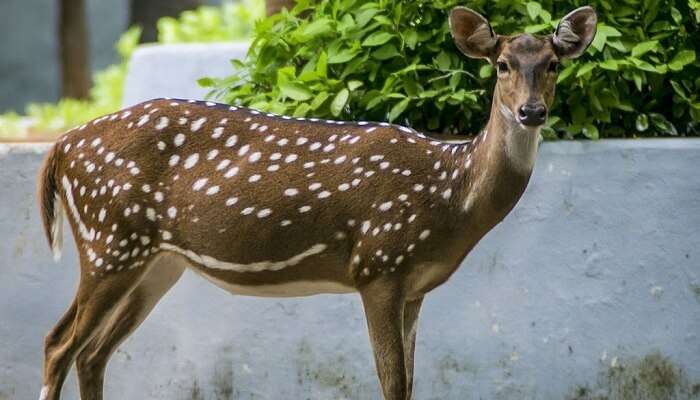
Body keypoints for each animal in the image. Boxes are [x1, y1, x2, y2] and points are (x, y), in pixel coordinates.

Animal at [37, 6, 596, 400]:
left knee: (93, 354)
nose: (531, 111)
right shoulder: (378, 264)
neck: (449, 193)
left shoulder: (415, 286)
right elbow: (392, 383)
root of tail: (61, 146)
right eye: (501, 65)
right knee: (59, 344)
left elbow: (410, 382)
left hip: (157, 262)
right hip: (110, 240)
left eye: (552, 64)